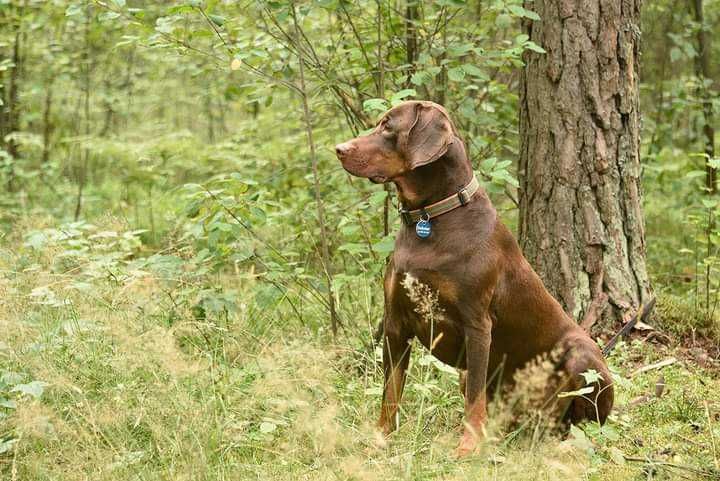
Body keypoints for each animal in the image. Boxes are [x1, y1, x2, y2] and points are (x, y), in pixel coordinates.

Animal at [336, 100, 612, 454]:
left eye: (388, 126)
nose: (339, 149)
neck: (430, 219)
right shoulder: (395, 323)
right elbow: (391, 391)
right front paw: (381, 437)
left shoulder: (477, 325)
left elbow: (474, 398)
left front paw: (468, 448)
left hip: (582, 356)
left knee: (584, 423)